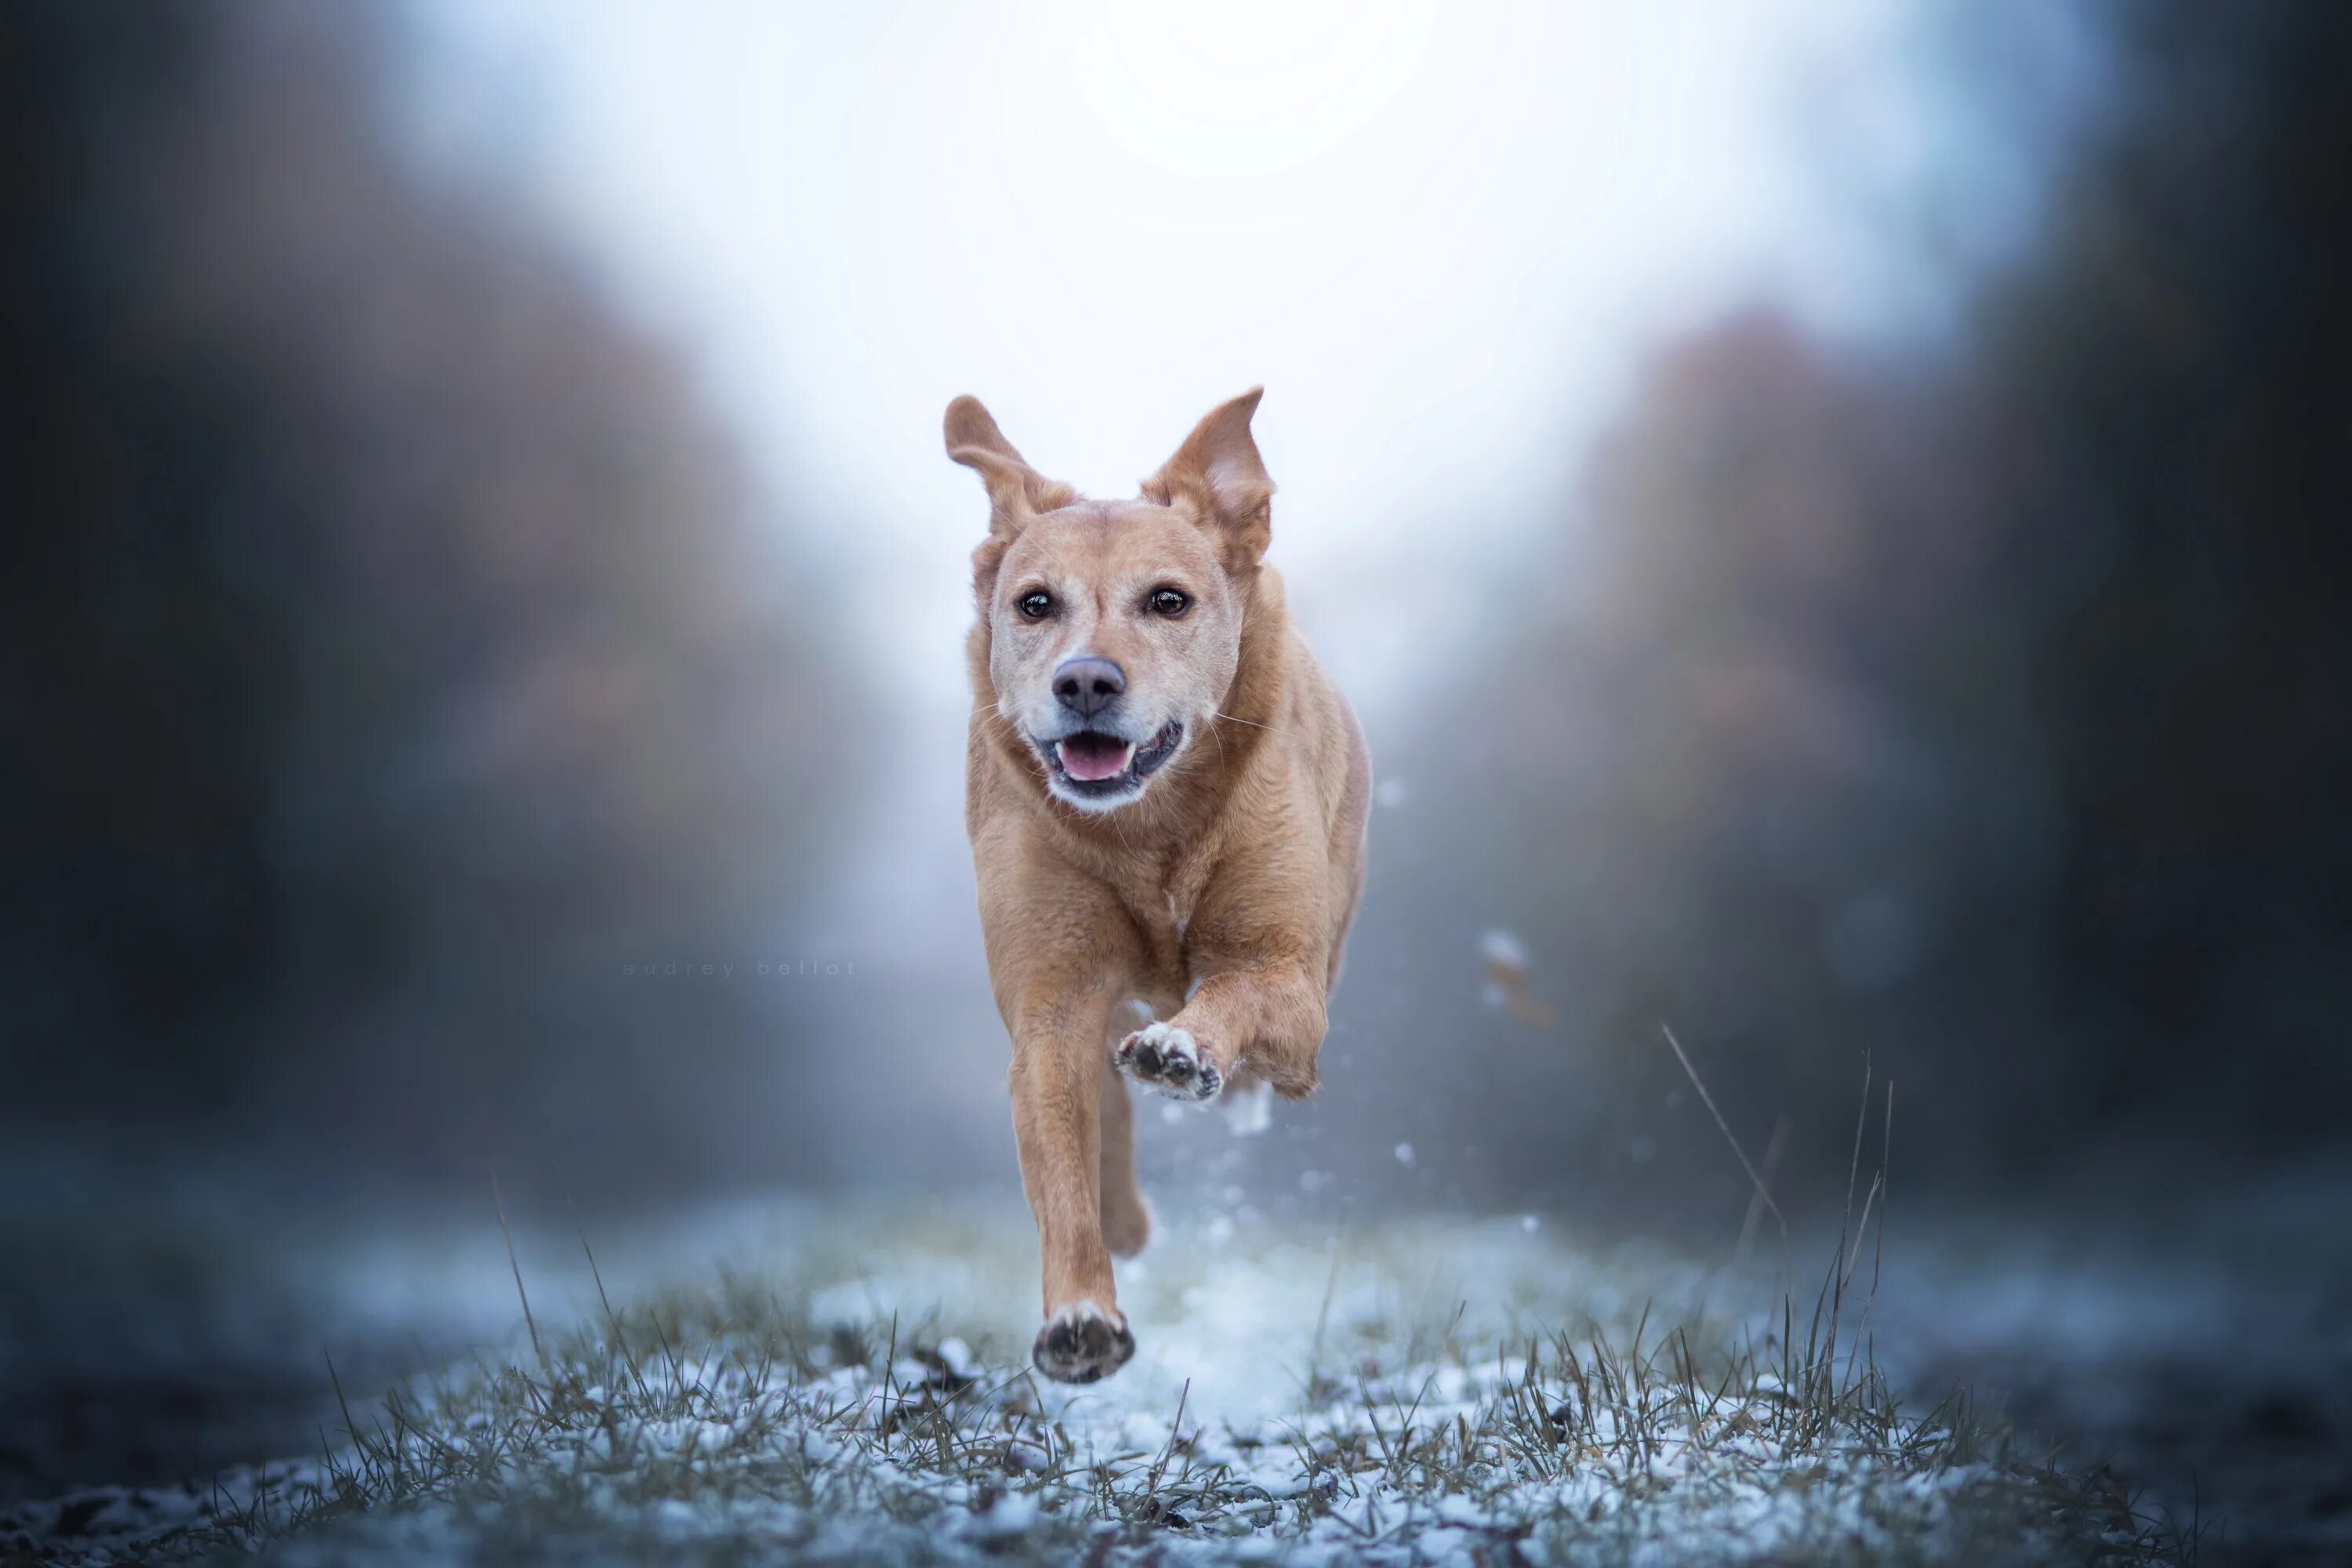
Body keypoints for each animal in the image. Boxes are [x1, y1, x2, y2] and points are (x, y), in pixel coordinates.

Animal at [946, 392, 1374, 1382]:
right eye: (1035, 603)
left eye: (1168, 600)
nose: (1085, 680)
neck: (1150, 834)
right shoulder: (1053, 999)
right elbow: (1062, 1163)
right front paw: (1080, 1314)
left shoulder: (1291, 984)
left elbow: (1235, 992)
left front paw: (1184, 1048)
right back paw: (1128, 1223)